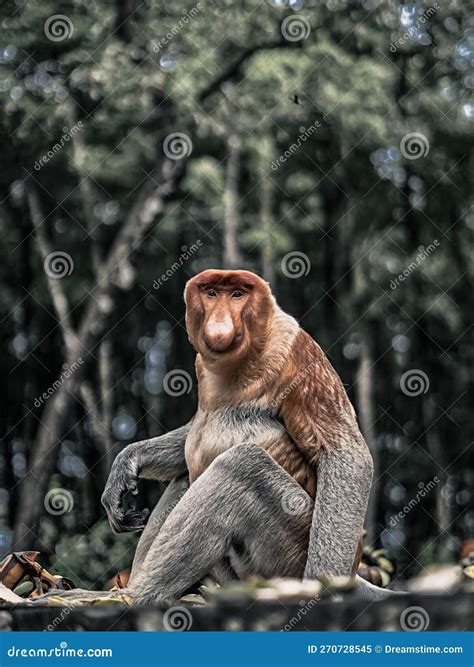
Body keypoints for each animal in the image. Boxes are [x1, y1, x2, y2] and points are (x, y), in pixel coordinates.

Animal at [103, 268, 392, 604]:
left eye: (238, 294)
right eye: (211, 293)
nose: (220, 321)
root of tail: (356, 571)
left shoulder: (296, 351)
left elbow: (344, 453)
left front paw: (321, 584)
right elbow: (192, 434)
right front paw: (126, 465)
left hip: (287, 550)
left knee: (242, 464)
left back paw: (135, 596)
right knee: (186, 476)